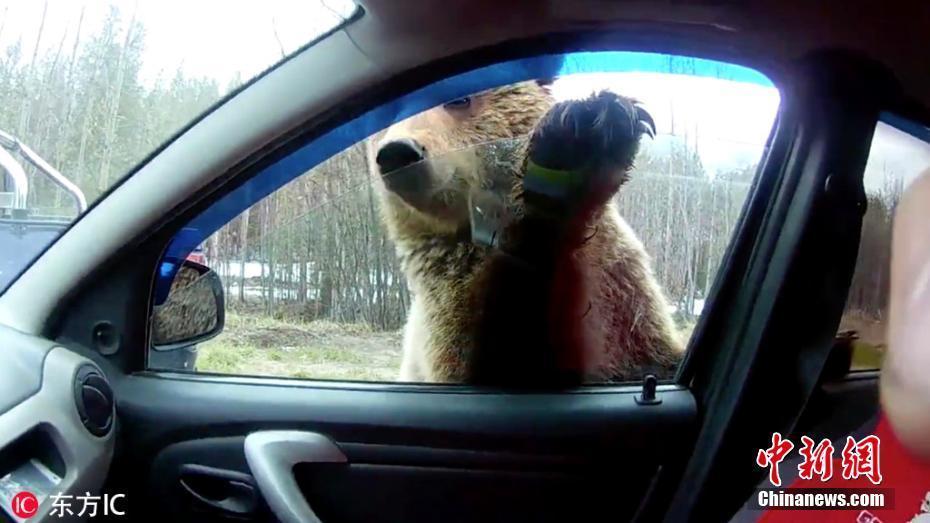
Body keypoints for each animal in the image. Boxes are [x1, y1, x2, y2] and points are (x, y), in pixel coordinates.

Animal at [370, 80, 680, 386]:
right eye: (387, 118)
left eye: (459, 100)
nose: (397, 152)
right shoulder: (452, 315)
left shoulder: (624, 300)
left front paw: (593, 128)